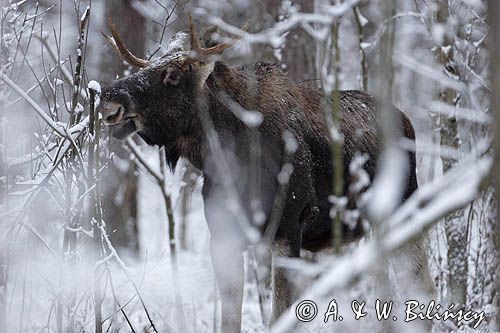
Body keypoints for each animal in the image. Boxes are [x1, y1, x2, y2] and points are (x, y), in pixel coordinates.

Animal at [96, 16, 434, 332]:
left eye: (173, 75)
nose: (109, 99)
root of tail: (408, 123)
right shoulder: (223, 235)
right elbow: (230, 321)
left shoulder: (290, 227)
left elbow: (279, 317)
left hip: (405, 210)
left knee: (422, 290)